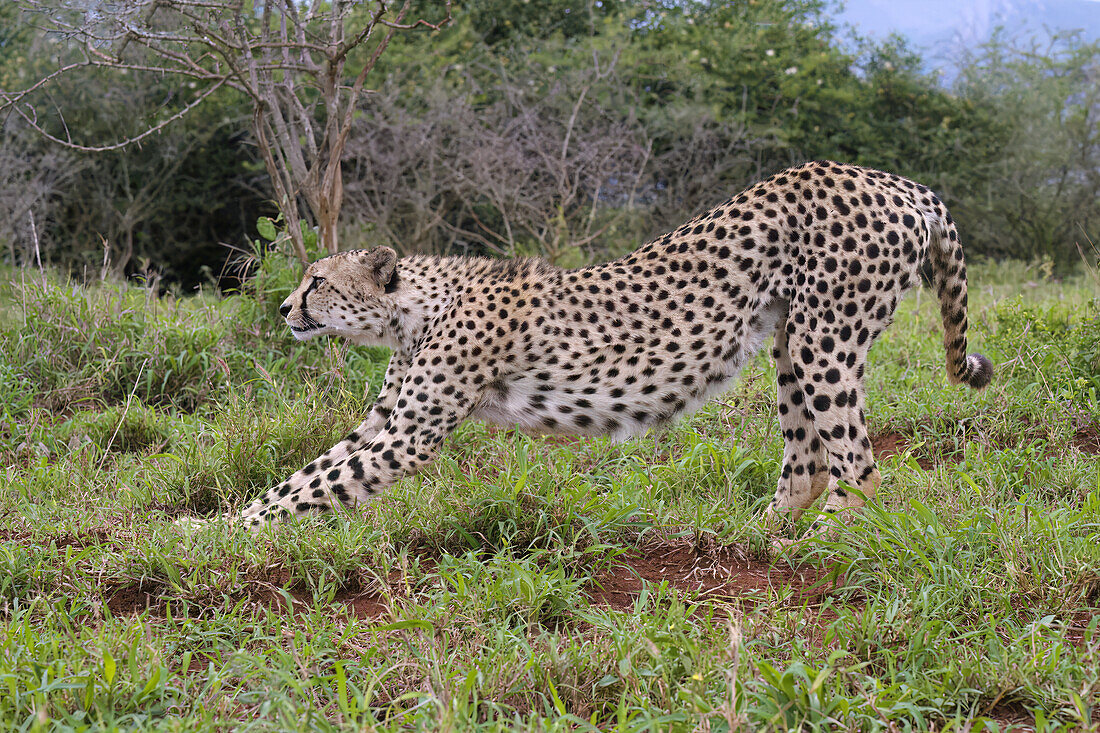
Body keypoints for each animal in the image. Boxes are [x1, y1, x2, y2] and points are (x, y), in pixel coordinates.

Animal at [225, 161, 998, 530]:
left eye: (318, 281)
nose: (286, 307)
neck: (415, 308)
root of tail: (896, 180)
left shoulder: (409, 433)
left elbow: (316, 487)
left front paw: (217, 537)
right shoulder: (385, 421)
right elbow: (301, 476)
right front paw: (216, 523)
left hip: (826, 337)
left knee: (860, 464)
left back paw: (822, 542)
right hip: (790, 339)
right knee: (809, 460)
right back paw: (760, 534)